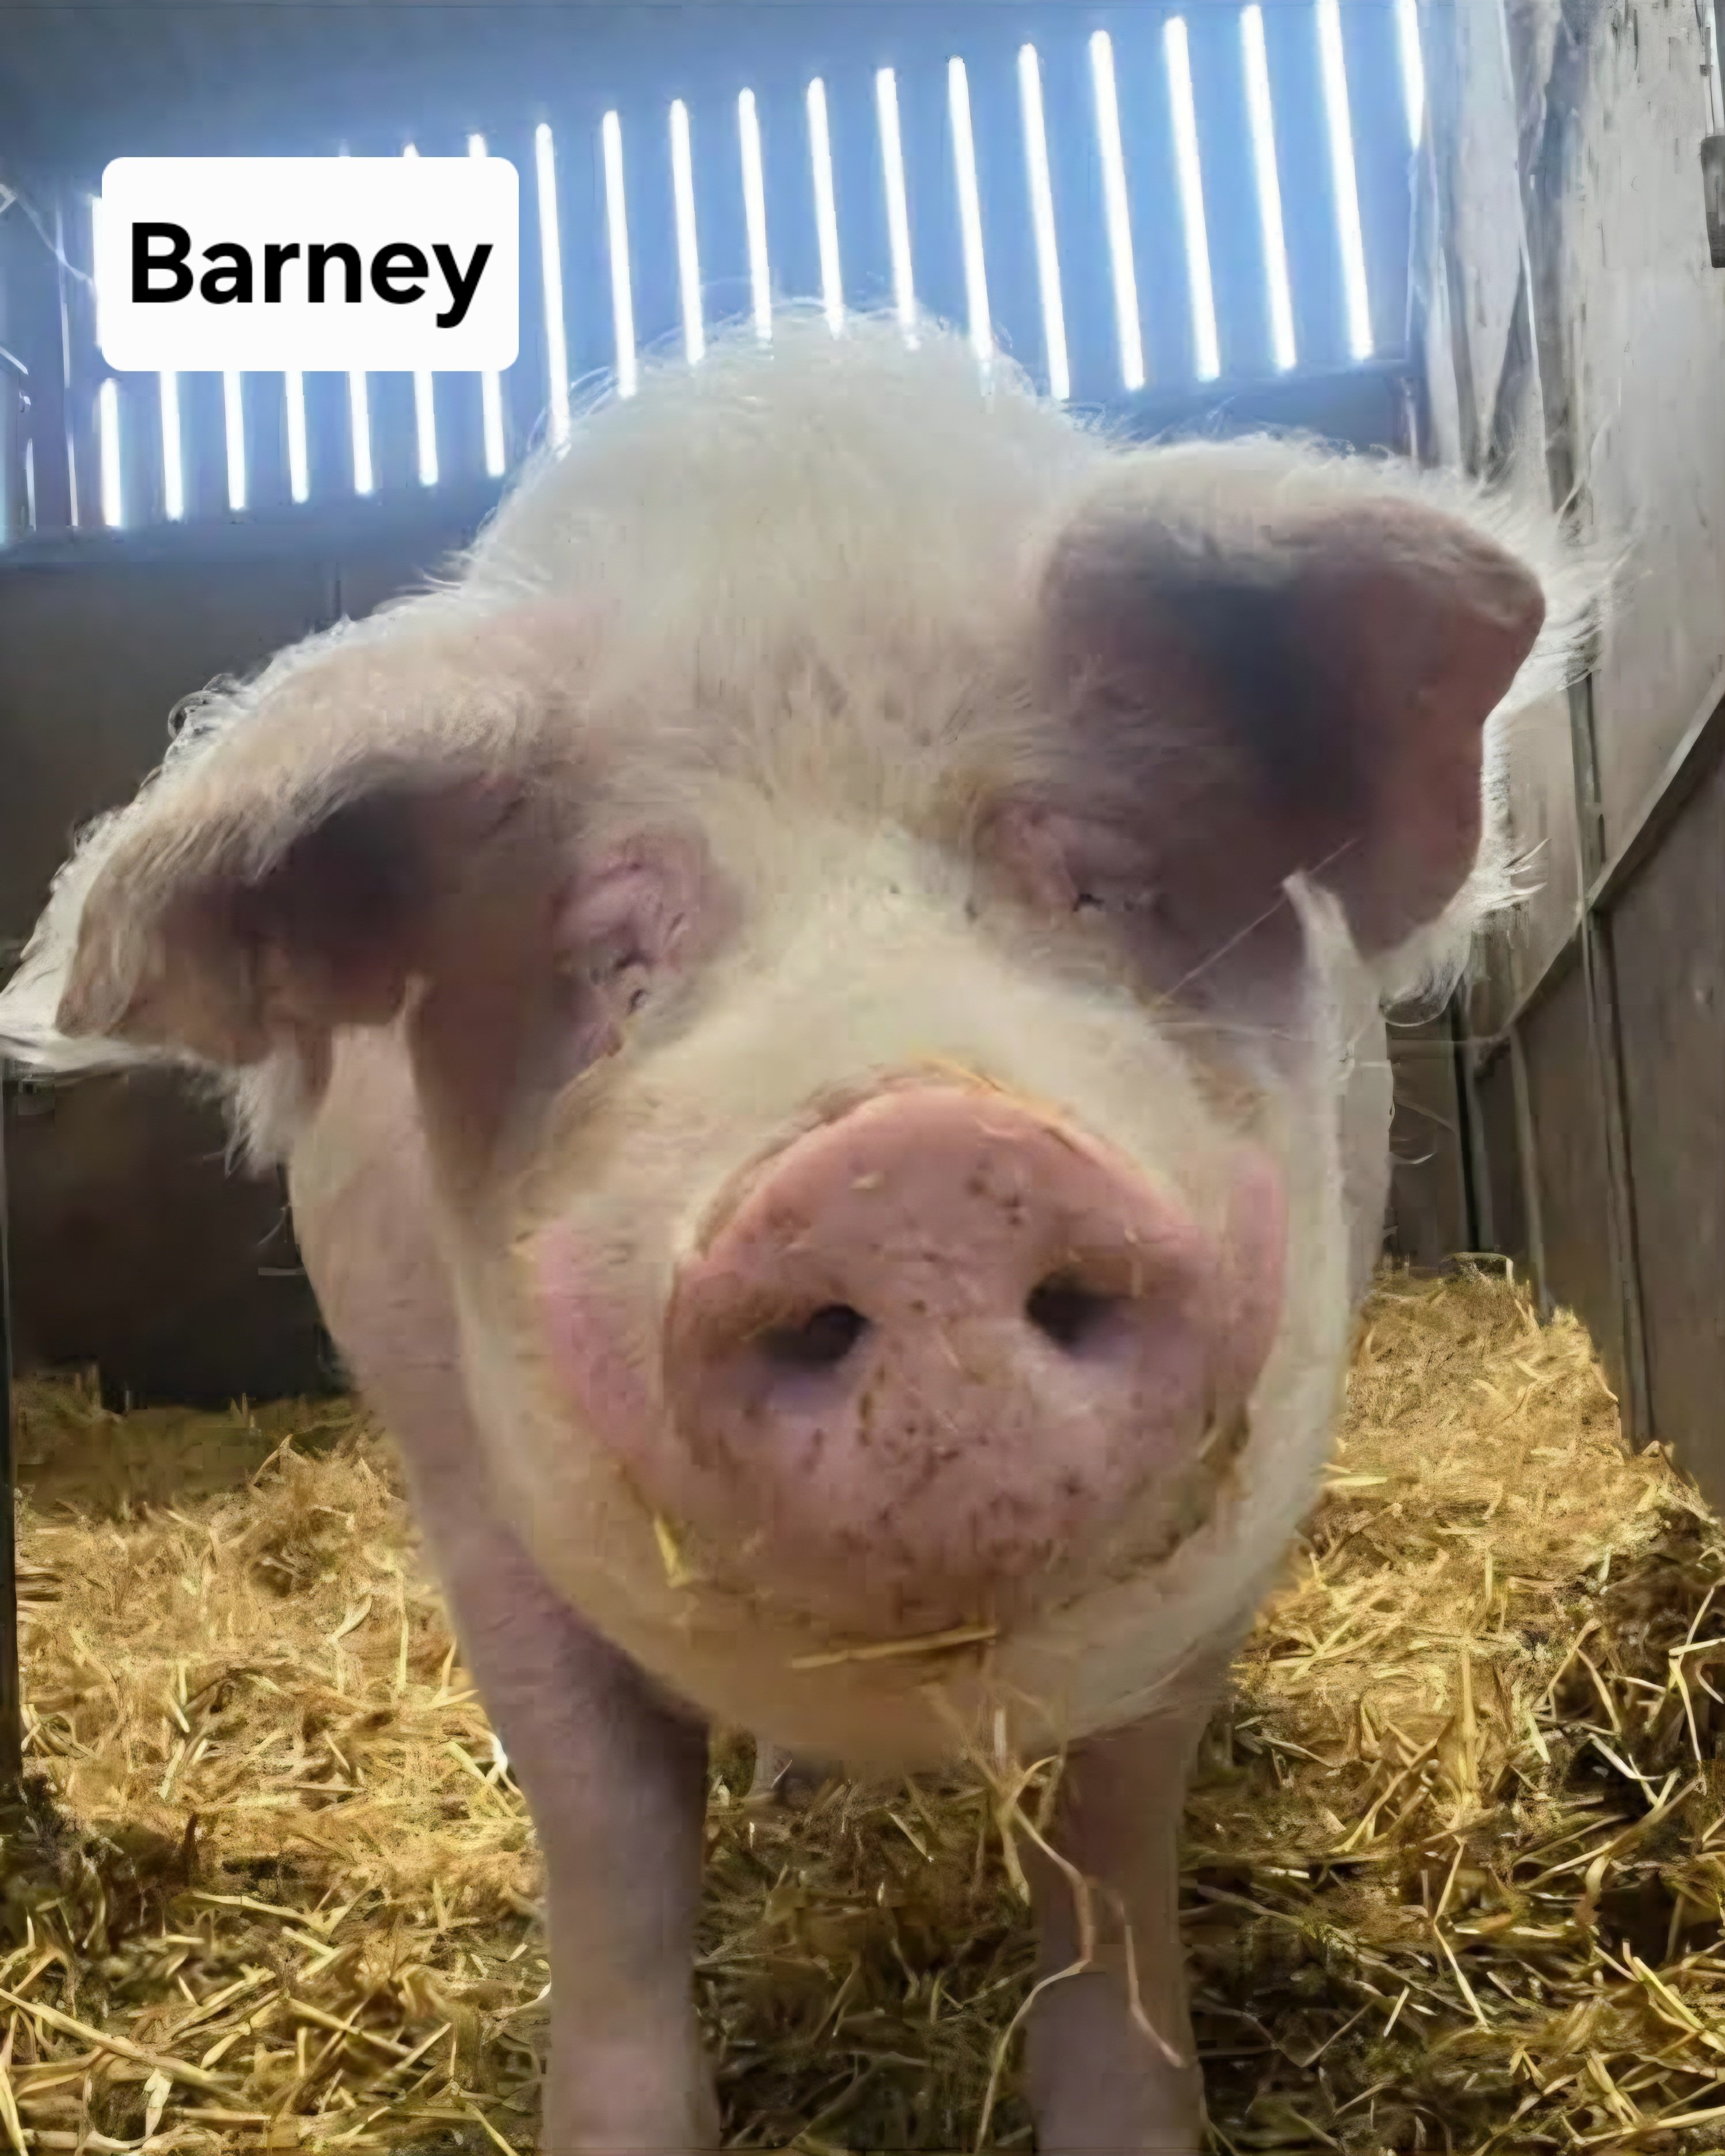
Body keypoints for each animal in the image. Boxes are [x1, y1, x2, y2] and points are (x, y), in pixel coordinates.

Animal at [0, 314, 1594, 2150]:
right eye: (610, 952)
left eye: (1098, 880)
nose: (914, 1164)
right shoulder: (462, 1493)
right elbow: (610, 1847)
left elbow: (1111, 1855)